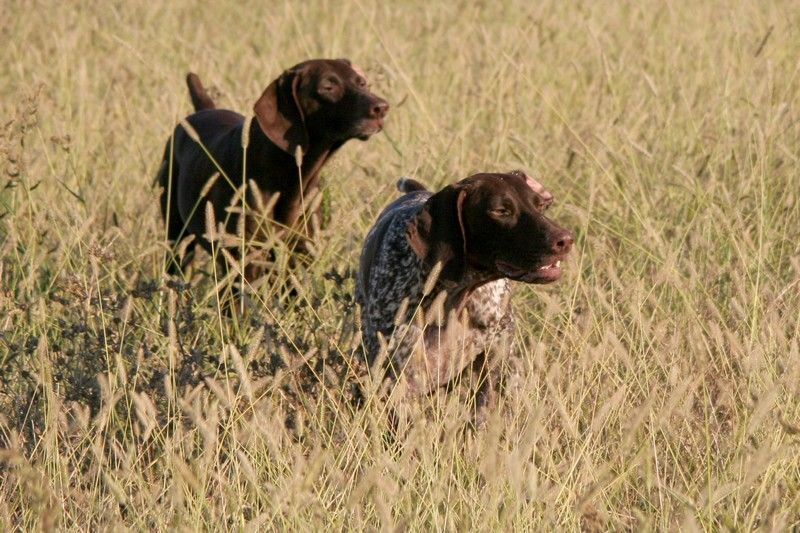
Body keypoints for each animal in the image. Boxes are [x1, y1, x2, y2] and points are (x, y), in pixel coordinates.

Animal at [155, 58, 388, 296]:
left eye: (362, 83)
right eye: (328, 86)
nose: (381, 107)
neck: (293, 175)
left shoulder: (300, 256)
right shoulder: (246, 260)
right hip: (177, 238)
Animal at [358, 170, 576, 416]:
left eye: (540, 206)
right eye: (501, 211)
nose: (566, 240)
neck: (454, 296)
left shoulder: (494, 359)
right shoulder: (396, 377)